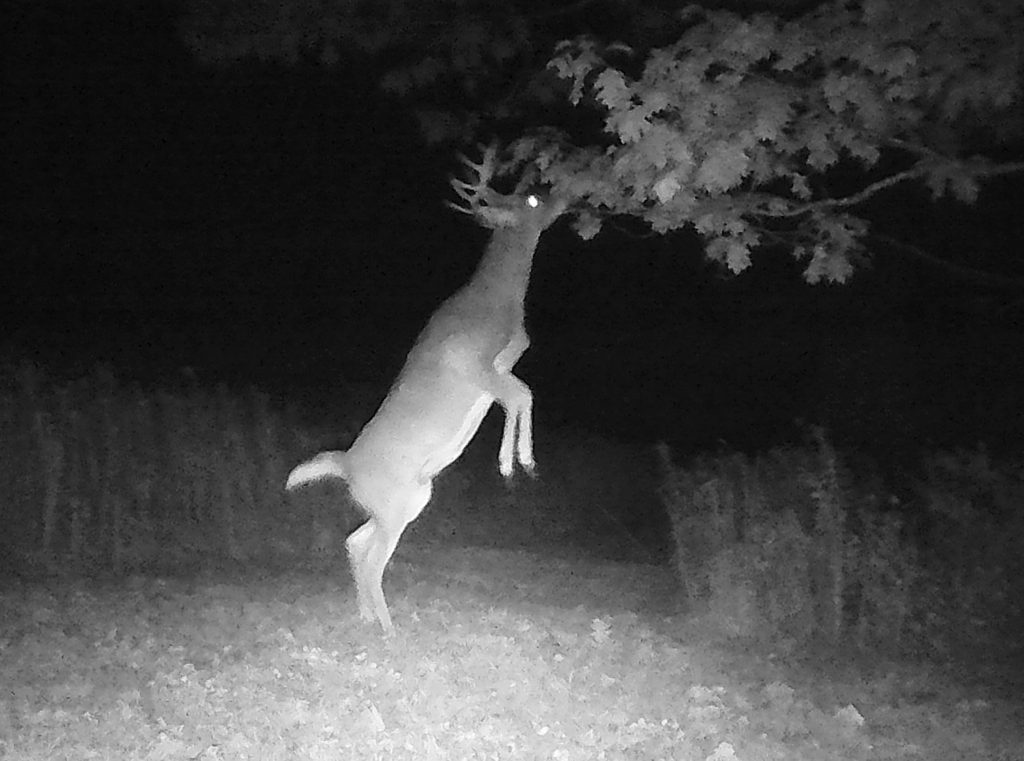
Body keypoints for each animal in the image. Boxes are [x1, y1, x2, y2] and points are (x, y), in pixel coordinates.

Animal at [286, 144, 570, 633]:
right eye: (533, 199)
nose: (565, 197)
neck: (497, 302)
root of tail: (345, 464)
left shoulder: (501, 368)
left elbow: (521, 391)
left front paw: (515, 463)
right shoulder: (476, 366)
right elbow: (522, 395)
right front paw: (517, 464)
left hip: (407, 499)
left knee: (354, 542)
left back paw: (368, 618)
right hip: (396, 501)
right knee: (372, 557)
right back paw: (389, 628)